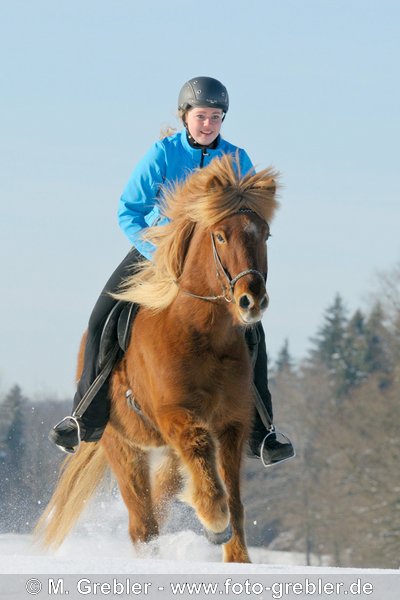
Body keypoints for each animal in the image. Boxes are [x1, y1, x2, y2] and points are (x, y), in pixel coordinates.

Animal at [36, 154, 278, 564]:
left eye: (265, 234)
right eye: (220, 235)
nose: (251, 301)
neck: (201, 334)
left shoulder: (232, 423)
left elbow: (233, 497)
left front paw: (238, 558)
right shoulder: (175, 414)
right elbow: (211, 484)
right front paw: (215, 522)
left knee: (162, 499)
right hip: (121, 444)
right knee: (143, 524)